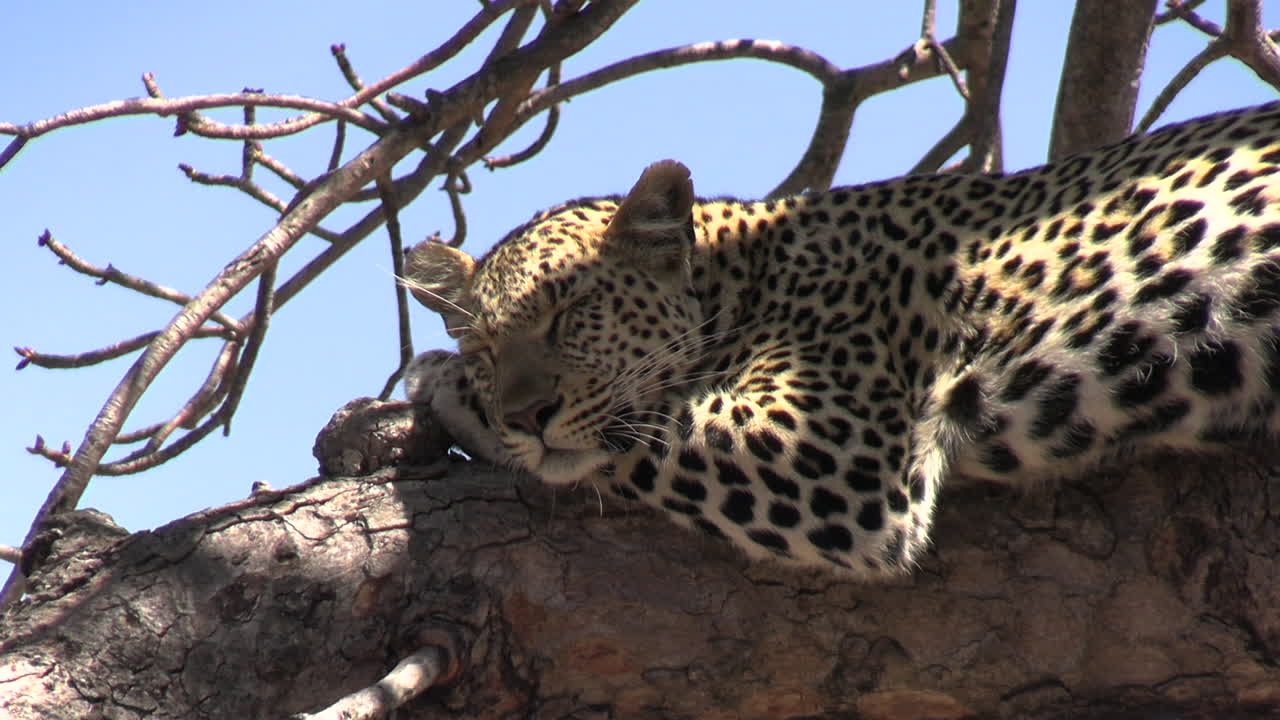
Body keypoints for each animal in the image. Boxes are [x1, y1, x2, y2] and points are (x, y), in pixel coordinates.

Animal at [402, 102, 1280, 578]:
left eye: (572, 311)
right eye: (487, 349)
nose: (525, 415)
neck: (744, 274)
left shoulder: (835, 449)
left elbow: (645, 435)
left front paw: (438, 385)